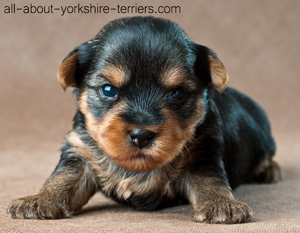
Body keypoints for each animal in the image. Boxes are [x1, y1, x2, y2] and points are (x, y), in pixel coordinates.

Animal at [7, 16, 282, 224]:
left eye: (177, 92)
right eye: (108, 90)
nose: (141, 135)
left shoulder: (204, 152)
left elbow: (210, 181)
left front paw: (222, 204)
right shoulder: (80, 151)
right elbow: (63, 178)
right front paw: (39, 199)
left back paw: (270, 171)